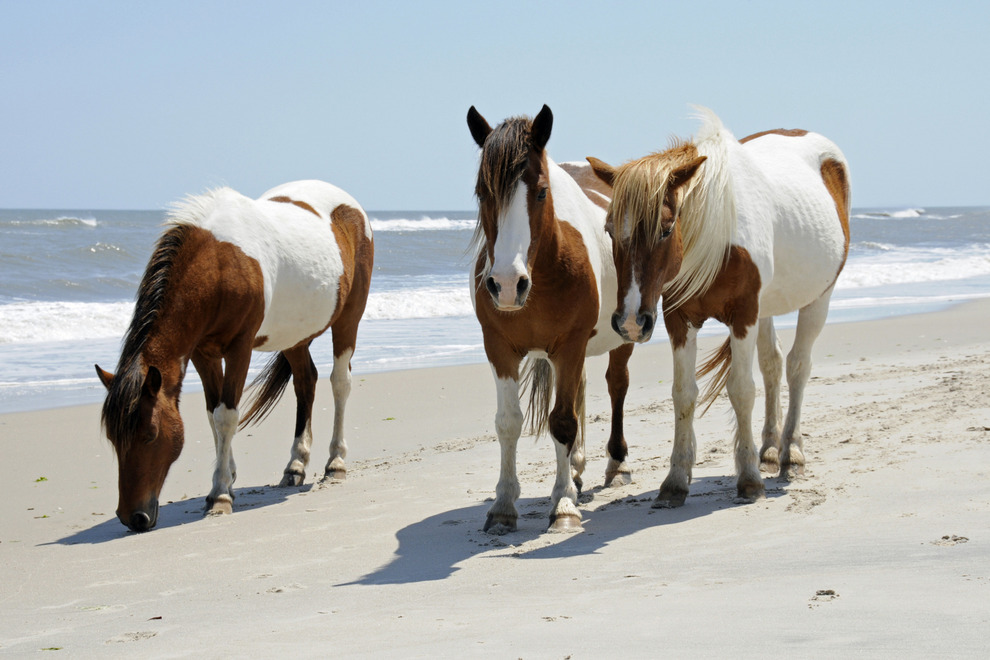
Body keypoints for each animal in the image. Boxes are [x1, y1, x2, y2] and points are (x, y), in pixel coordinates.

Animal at [95, 179, 374, 532]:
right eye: (113, 438)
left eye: (150, 435)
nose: (133, 517)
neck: (218, 264)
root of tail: (349, 205)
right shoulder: (203, 353)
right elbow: (212, 414)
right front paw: (226, 479)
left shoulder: (239, 348)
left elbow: (226, 415)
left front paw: (220, 496)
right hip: (294, 336)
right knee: (305, 382)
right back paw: (295, 465)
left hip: (349, 318)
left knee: (339, 383)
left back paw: (335, 463)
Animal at [466, 104, 636, 536]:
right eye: (482, 193)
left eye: (542, 191)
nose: (507, 285)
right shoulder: (499, 348)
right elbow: (509, 422)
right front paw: (503, 506)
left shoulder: (570, 345)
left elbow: (562, 422)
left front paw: (562, 506)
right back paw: (575, 469)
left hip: (623, 335)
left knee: (616, 386)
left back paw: (616, 464)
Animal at [588, 108, 852, 508]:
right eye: (608, 229)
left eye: (666, 229)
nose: (631, 322)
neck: (715, 236)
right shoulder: (678, 319)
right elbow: (683, 393)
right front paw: (675, 481)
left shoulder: (743, 315)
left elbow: (741, 389)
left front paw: (749, 480)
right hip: (767, 307)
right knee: (773, 364)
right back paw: (770, 449)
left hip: (819, 298)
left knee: (797, 367)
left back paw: (791, 453)